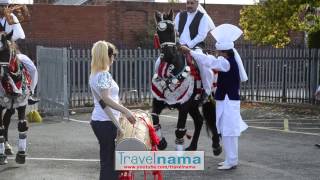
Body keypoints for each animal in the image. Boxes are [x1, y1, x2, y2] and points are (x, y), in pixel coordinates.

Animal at [151, 9, 221, 153]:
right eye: (158, 31)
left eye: (173, 30)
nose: (168, 54)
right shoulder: (158, 101)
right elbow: (155, 119)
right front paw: (162, 142)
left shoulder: (184, 105)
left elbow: (179, 131)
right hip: (193, 105)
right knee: (199, 120)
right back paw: (193, 146)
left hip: (210, 99)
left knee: (212, 118)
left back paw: (216, 146)